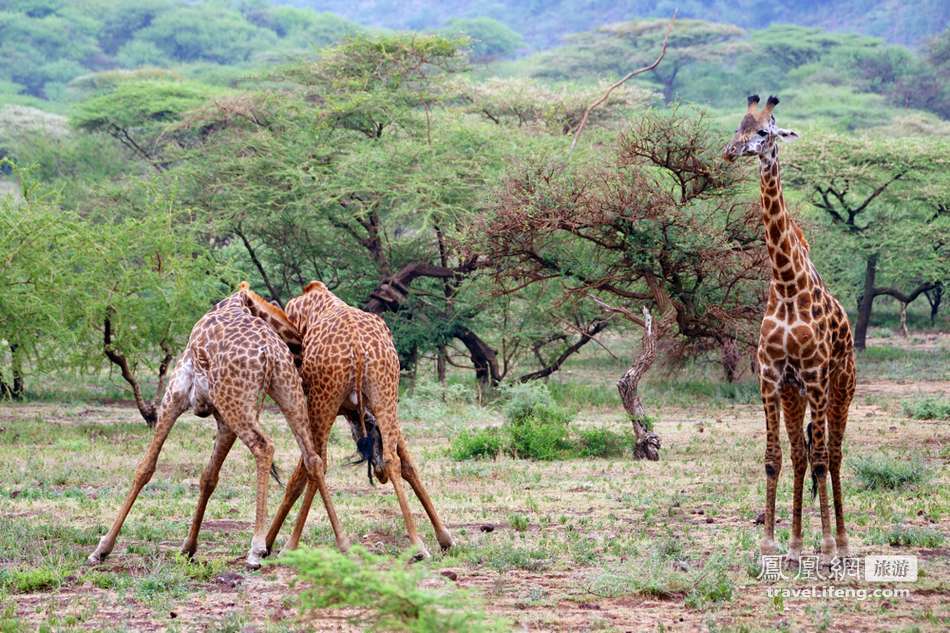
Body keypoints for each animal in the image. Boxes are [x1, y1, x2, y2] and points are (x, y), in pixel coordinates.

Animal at [85, 286, 338, 568]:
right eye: (296, 336)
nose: (302, 354)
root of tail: (270, 353)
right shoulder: (223, 419)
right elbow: (209, 477)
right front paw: (188, 547)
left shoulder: (176, 393)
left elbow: (145, 468)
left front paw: (102, 548)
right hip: (283, 394)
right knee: (313, 458)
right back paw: (341, 543)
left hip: (237, 402)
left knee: (264, 447)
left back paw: (256, 548)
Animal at [724, 95, 860, 564]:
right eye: (738, 127)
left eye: (765, 132)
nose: (730, 152)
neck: (785, 285)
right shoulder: (770, 377)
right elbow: (774, 457)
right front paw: (769, 543)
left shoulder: (816, 376)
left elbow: (821, 458)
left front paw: (827, 547)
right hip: (793, 393)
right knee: (802, 455)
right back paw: (798, 545)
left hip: (840, 387)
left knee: (832, 454)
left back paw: (840, 543)